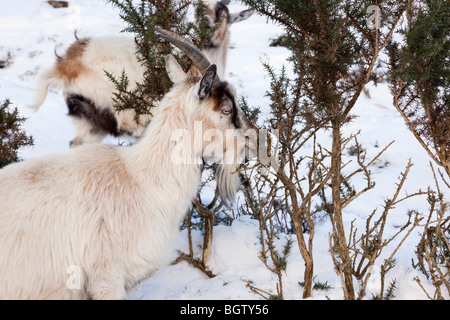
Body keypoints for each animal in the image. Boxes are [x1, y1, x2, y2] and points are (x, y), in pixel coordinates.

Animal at [28, 0, 253, 146]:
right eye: (197, 11)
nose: (206, 24)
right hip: (121, 112)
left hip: (90, 121)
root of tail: (67, 67)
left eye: (223, 13)